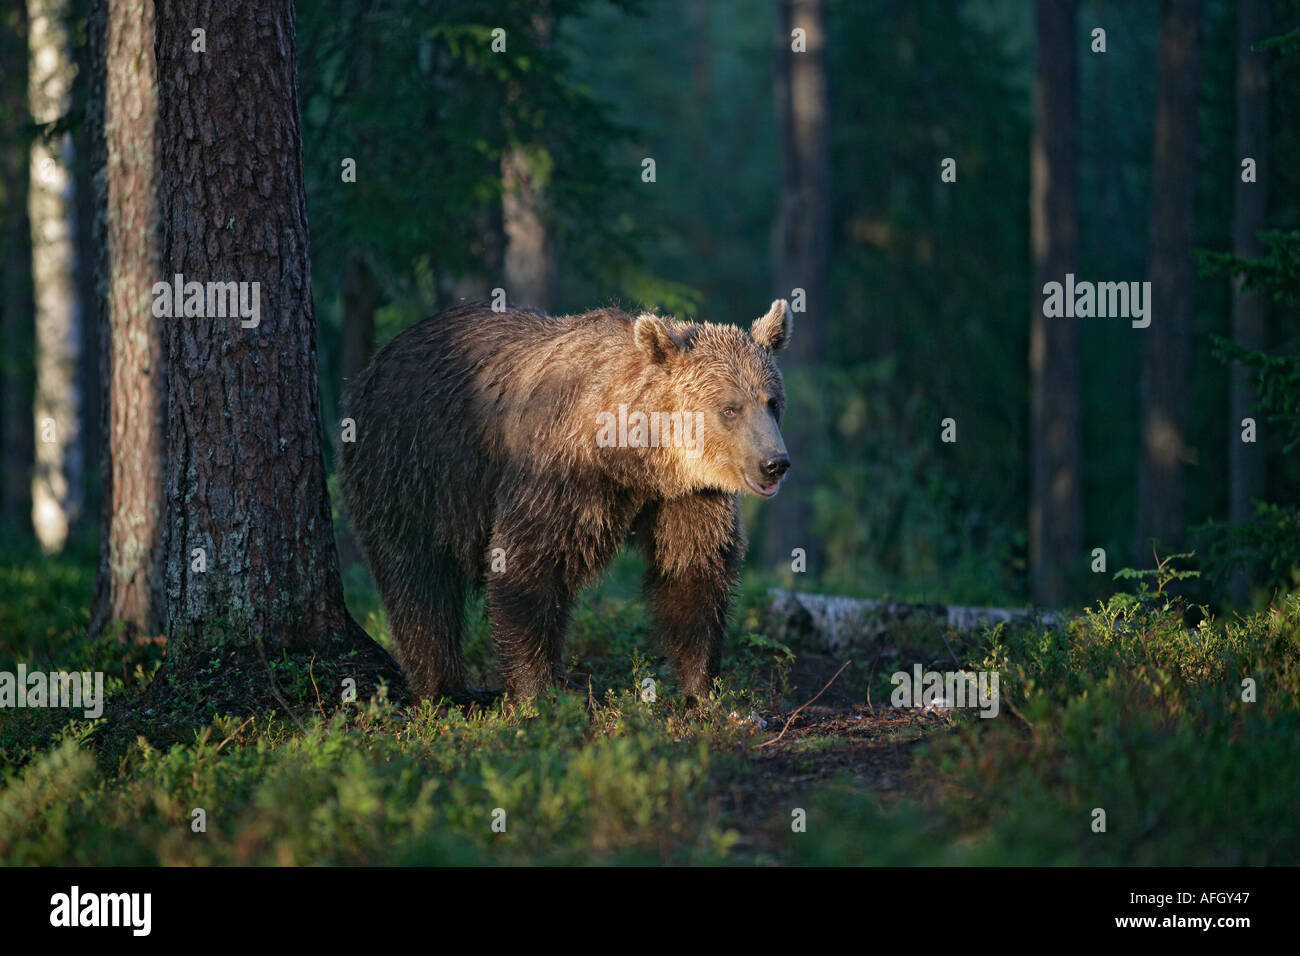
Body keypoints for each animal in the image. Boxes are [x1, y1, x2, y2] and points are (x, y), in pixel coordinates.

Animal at [338, 299, 790, 702]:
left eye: (771, 402)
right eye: (730, 408)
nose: (775, 463)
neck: (636, 460)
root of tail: (378, 360)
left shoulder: (686, 495)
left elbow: (692, 570)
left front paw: (702, 689)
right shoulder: (561, 475)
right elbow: (526, 566)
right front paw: (539, 690)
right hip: (410, 466)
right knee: (417, 580)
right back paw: (448, 689)